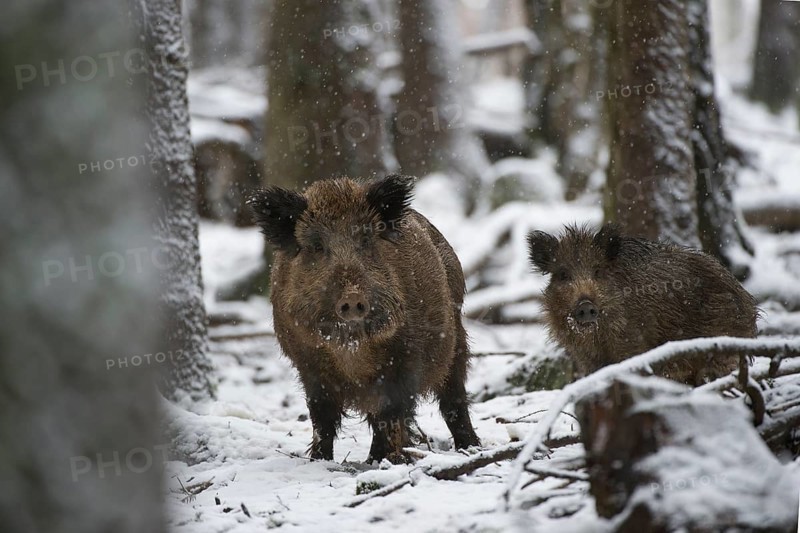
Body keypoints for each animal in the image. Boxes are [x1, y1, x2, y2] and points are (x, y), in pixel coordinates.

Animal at [248, 175, 480, 463]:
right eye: (317, 246)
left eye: (366, 241)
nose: (352, 298)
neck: (352, 350)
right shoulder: (307, 363)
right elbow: (321, 417)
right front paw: (319, 460)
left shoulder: (406, 358)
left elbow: (390, 411)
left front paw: (380, 461)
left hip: (456, 339)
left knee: (454, 398)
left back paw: (470, 448)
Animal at [527, 223, 758, 385]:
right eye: (563, 274)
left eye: (598, 271)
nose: (585, 305)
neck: (598, 338)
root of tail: (749, 302)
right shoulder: (587, 359)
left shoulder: (633, 344)